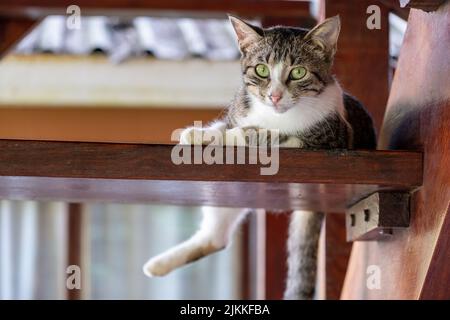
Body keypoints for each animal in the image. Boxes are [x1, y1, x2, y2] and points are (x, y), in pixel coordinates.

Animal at [144, 15, 376, 300]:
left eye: (298, 72)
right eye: (262, 70)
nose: (274, 96)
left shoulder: (324, 140)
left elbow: (256, 134)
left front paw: (232, 136)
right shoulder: (238, 113)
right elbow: (226, 124)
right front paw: (200, 133)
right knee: (216, 236)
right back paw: (157, 265)